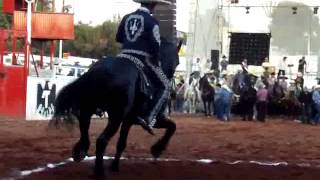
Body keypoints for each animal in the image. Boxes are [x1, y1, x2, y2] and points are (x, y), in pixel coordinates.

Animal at [53, 39, 181, 179]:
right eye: (178, 61)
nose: (174, 93)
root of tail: (98, 70)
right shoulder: (150, 120)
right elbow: (172, 127)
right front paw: (157, 149)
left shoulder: (128, 121)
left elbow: (121, 143)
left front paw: (115, 166)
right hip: (115, 117)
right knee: (101, 140)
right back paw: (99, 172)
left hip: (89, 109)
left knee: (84, 129)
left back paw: (80, 151)